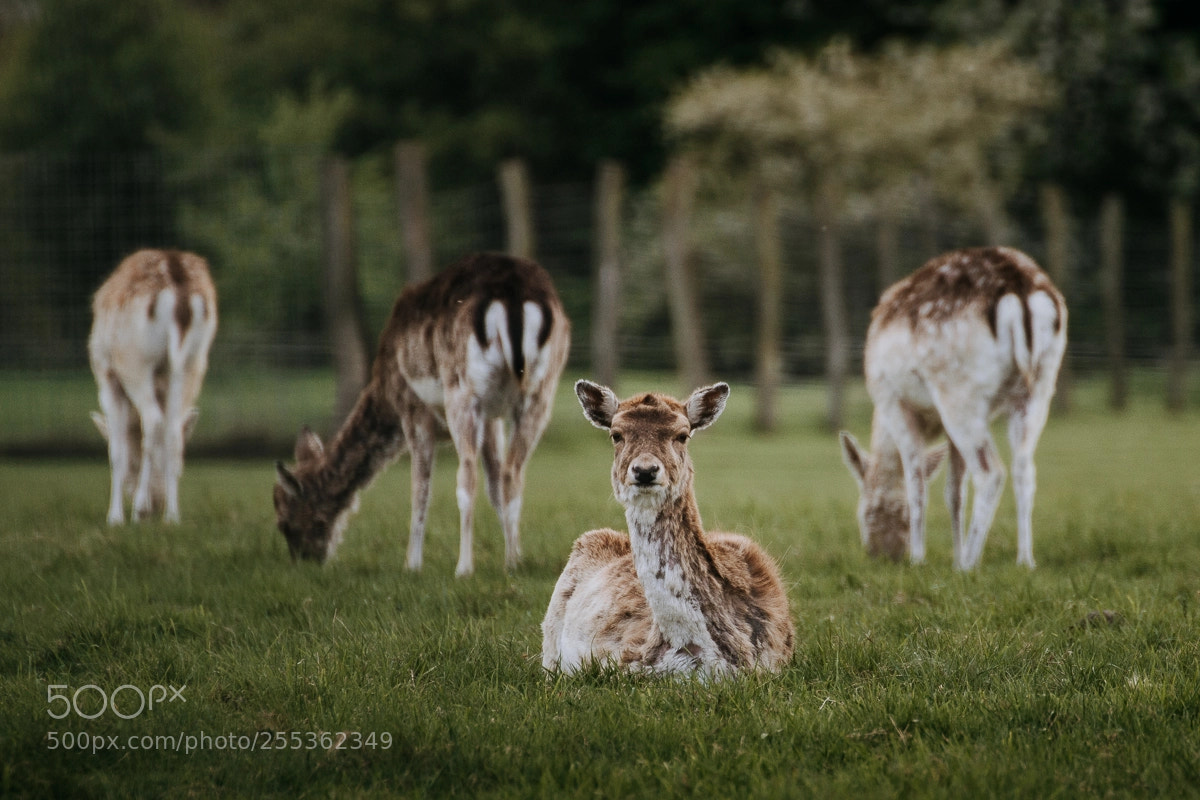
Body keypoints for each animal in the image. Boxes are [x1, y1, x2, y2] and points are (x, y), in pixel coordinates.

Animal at [88, 249, 218, 525]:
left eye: (134, 466)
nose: (157, 503)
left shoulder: (107, 376)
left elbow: (117, 449)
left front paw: (115, 517)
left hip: (135, 360)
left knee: (153, 420)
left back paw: (139, 509)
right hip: (193, 363)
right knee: (173, 429)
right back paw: (172, 516)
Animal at [273, 252, 570, 576]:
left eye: (284, 523)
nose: (305, 561)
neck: (385, 388)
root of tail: (515, 295)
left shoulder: (412, 409)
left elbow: (420, 489)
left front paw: (411, 565)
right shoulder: (492, 419)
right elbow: (494, 486)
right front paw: (515, 556)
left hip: (462, 390)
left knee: (467, 474)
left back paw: (463, 567)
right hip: (541, 393)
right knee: (512, 471)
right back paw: (510, 564)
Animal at [839, 246, 1066, 570]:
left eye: (866, 511)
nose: (885, 555)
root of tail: (1020, 290)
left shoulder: (892, 400)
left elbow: (917, 482)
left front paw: (920, 559)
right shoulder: (946, 429)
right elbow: (954, 491)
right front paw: (954, 559)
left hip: (958, 390)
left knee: (991, 472)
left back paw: (972, 562)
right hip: (1040, 385)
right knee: (1024, 468)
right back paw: (1024, 561)